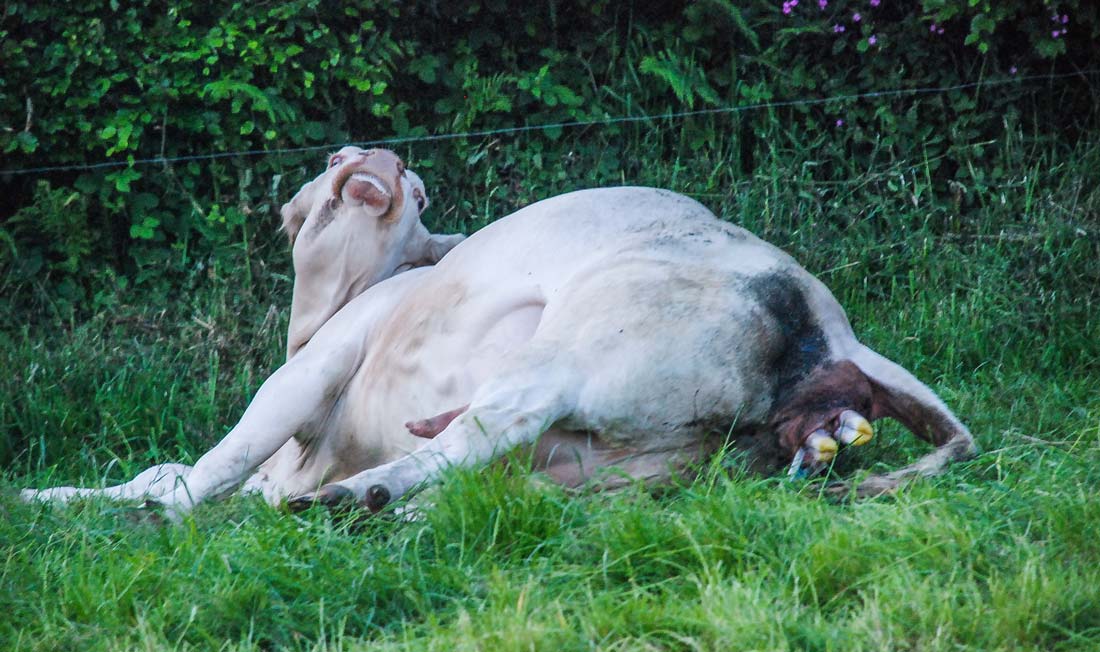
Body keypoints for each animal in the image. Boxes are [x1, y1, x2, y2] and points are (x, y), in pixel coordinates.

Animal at [23, 147, 977, 519]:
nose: (371, 156)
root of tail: (836, 332)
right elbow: (164, 472)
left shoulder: (317, 364)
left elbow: (195, 473)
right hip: (642, 473)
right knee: (489, 486)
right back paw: (382, 505)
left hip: (570, 355)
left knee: (485, 430)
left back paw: (355, 497)